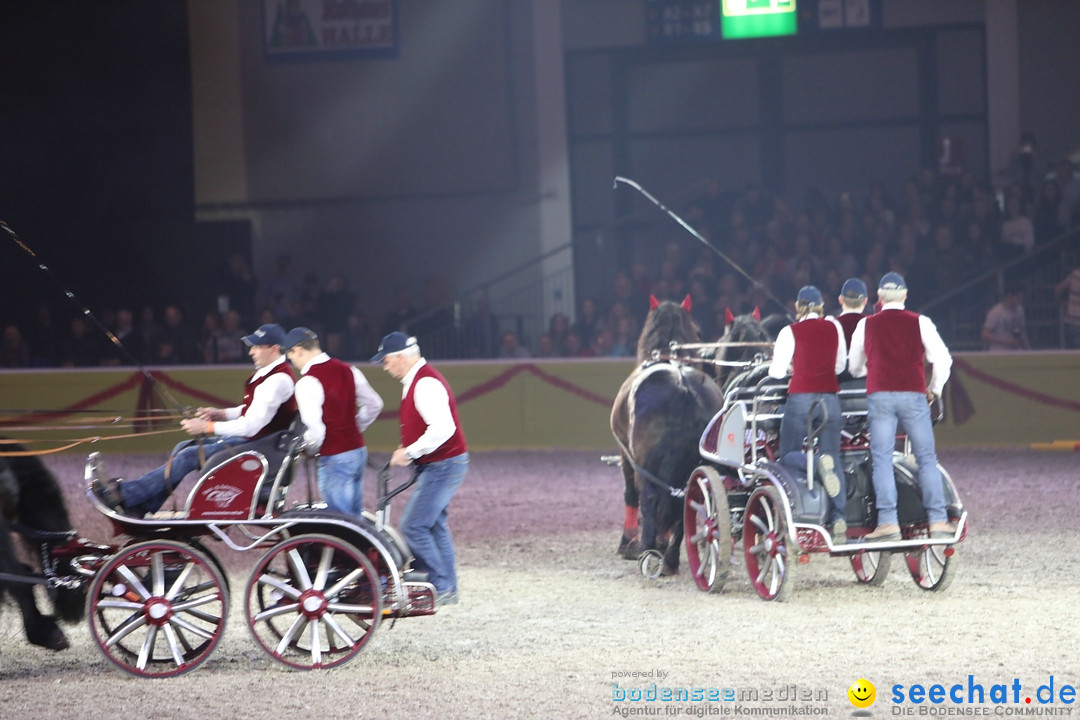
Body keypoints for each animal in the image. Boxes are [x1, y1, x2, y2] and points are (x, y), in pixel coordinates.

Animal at [609, 295, 725, 578]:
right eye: (699, 331)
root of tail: (683, 385)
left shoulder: (626, 455)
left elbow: (631, 495)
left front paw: (628, 542)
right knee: (685, 501)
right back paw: (670, 557)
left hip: (645, 465)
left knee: (649, 499)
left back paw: (647, 549)